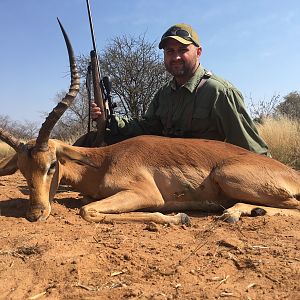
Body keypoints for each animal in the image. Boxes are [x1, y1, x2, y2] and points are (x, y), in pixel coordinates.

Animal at [0, 23, 300, 225]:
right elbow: (87, 204)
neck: (104, 161)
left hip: (227, 174)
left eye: (52, 165)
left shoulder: (144, 193)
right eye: (23, 170)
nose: (35, 214)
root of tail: (290, 173)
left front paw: (179, 217)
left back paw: (233, 213)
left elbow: (88, 210)